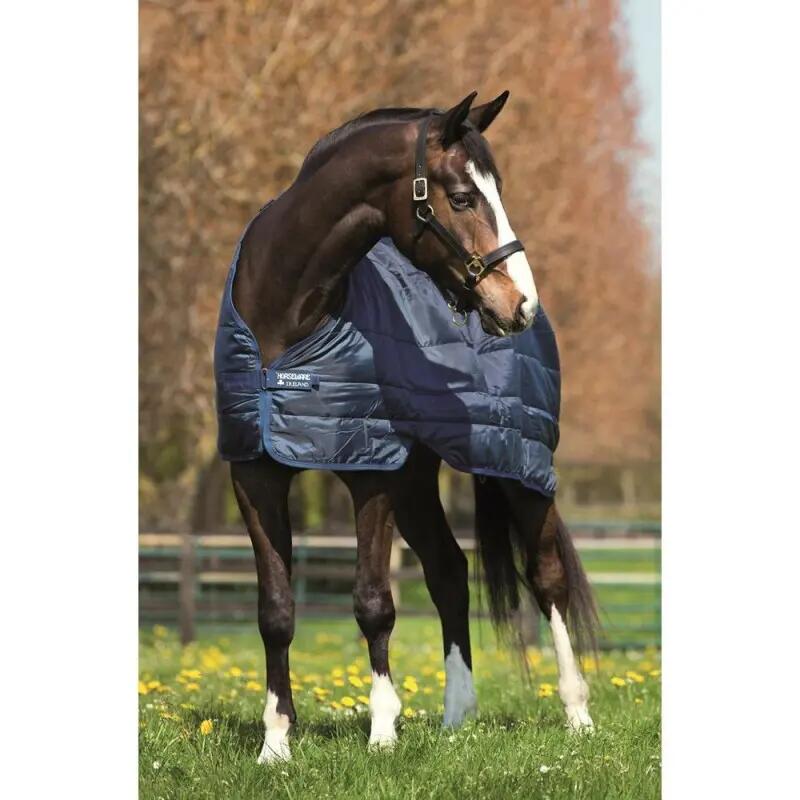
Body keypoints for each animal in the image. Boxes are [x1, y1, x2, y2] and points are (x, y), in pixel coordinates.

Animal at [221, 91, 598, 763]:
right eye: (463, 197)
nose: (520, 304)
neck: (286, 320)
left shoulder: (371, 472)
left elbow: (374, 601)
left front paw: (382, 735)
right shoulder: (255, 472)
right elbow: (275, 610)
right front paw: (276, 743)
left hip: (518, 465)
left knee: (547, 576)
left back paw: (577, 715)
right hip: (419, 482)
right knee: (449, 573)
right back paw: (456, 716)